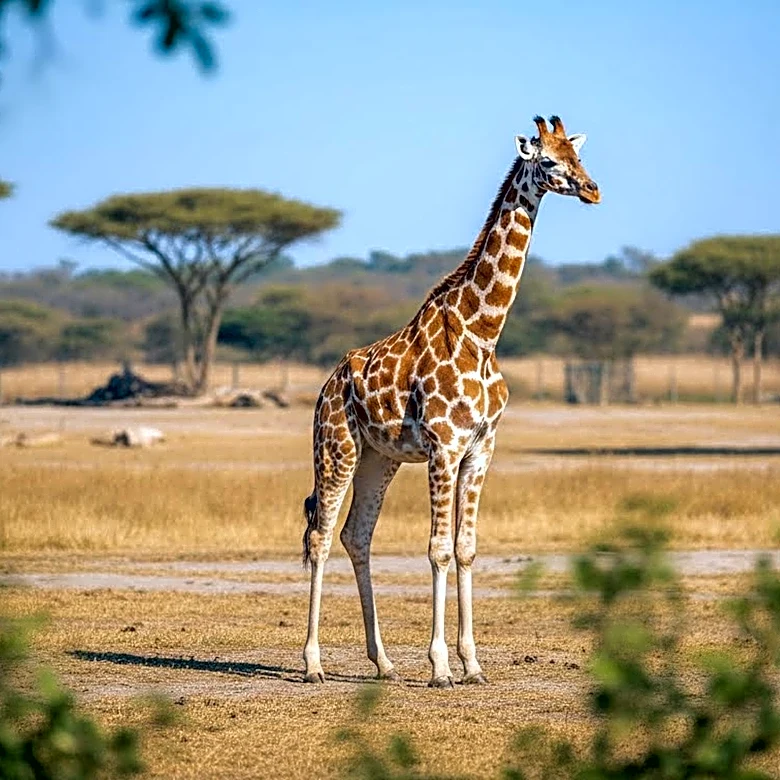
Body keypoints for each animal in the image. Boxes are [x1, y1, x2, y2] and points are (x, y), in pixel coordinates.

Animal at [302, 115, 600, 687]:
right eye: (548, 161)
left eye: (578, 157)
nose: (593, 190)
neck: (482, 333)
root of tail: (326, 386)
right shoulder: (444, 446)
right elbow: (438, 550)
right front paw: (440, 667)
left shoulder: (480, 449)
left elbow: (465, 549)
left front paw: (472, 664)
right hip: (336, 450)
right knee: (321, 537)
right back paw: (313, 664)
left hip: (379, 458)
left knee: (356, 536)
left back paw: (384, 663)